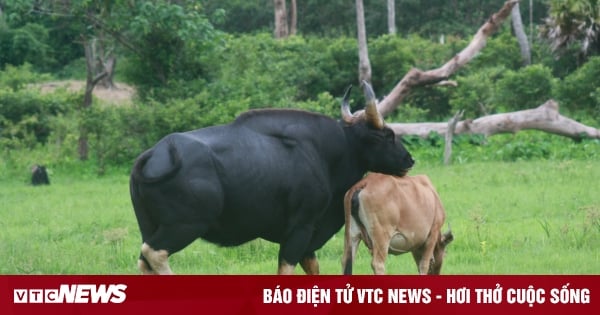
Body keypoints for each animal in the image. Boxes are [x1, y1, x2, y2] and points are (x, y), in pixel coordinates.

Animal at [129, 83, 414, 274]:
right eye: (386, 135)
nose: (408, 160)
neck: (328, 153)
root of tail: (154, 154)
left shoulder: (309, 238)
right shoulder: (300, 229)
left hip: (150, 226)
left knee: (144, 260)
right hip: (185, 225)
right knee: (154, 253)